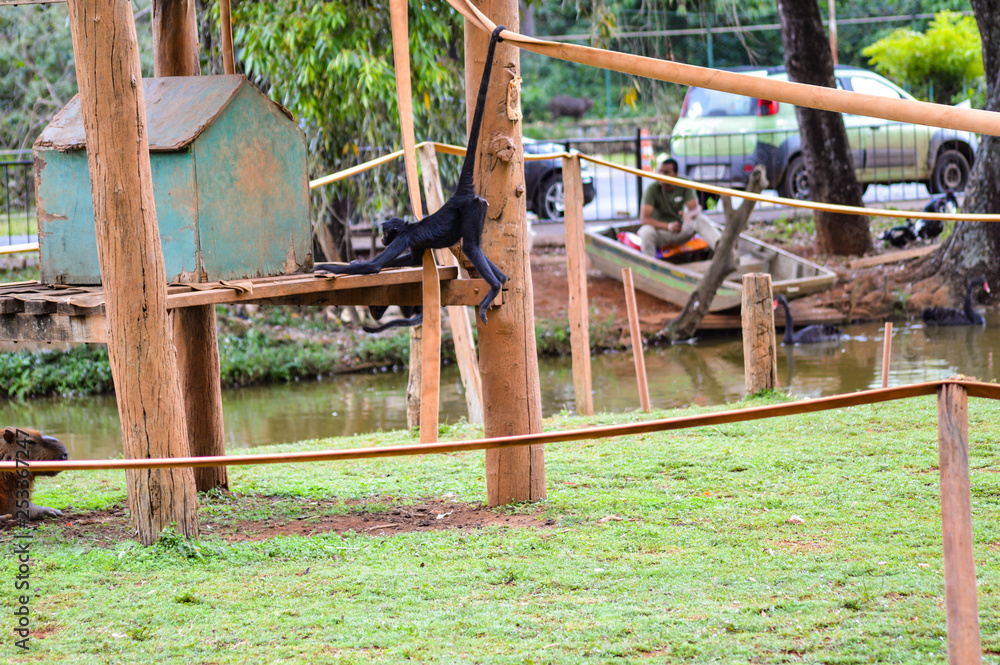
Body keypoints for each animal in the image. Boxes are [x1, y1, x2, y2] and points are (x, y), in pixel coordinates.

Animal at [315, 25, 509, 325]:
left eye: (385, 233)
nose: (383, 240)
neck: (409, 226)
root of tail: (460, 195)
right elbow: (412, 261)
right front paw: (354, 263)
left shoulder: (405, 238)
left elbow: (375, 266)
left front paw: (329, 267)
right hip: (480, 209)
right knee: (477, 249)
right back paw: (502, 279)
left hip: (472, 209)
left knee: (471, 248)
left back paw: (495, 286)